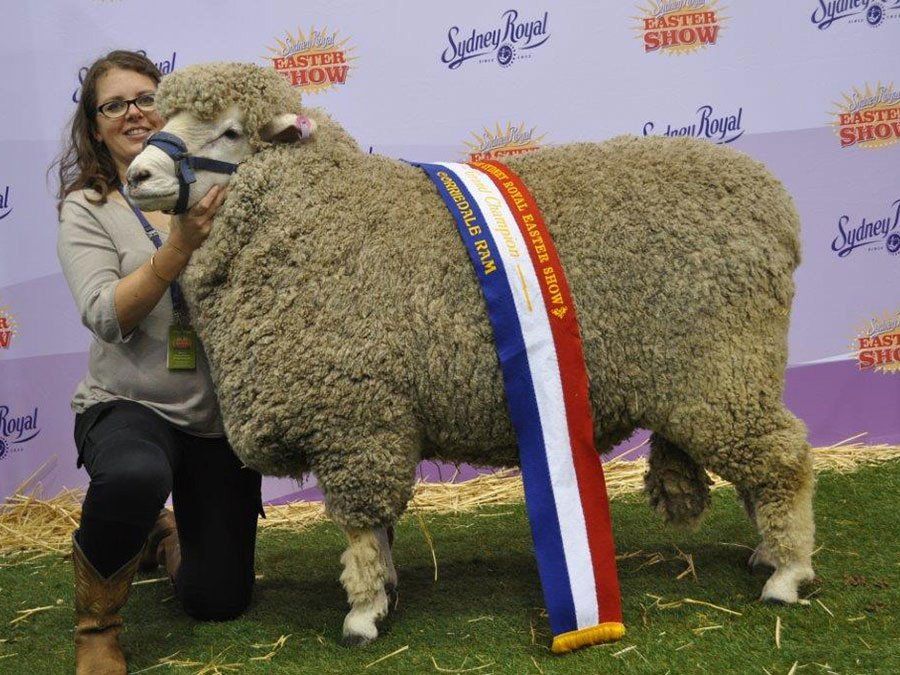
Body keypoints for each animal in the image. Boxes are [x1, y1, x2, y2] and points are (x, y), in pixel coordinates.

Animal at [126, 62, 815, 646]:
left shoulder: (354, 416)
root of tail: (774, 203)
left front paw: (363, 613)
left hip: (720, 370)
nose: (136, 176)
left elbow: (361, 525)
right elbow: (381, 526)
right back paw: (768, 553)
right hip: (731, 373)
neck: (312, 220)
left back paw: (788, 574)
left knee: (784, 456)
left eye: (230, 131)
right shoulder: (374, 419)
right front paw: (386, 590)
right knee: (763, 464)